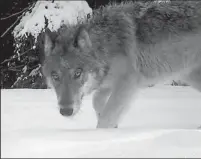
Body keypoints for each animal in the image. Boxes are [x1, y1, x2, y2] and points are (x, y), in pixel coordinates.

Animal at [42, 0, 201, 128]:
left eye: (77, 73)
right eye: (55, 76)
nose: (66, 111)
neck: (106, 47)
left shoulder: (127, 82)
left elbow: (107, 115)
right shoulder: (108, 83)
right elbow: (97, 101)